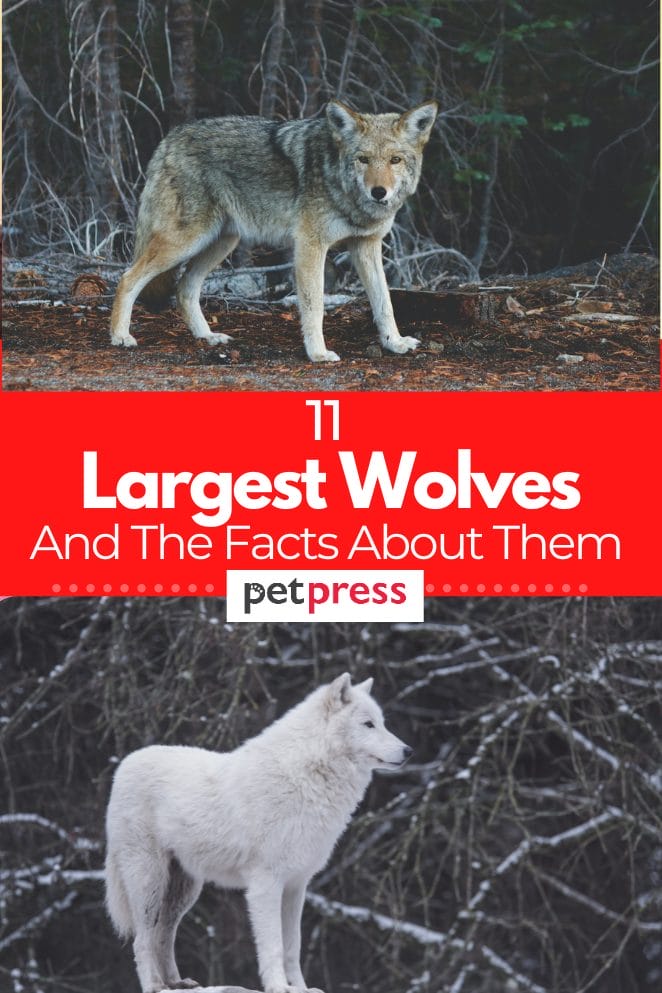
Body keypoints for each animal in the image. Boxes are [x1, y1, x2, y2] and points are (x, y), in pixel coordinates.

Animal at [105, 673, 411, 993]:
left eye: (383, 723)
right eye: (368, 724)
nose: (408, 751)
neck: (305, 776)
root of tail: (125, 763)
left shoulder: (296, 885)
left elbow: (293, 947)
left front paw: (301, 988)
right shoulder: (266, 884)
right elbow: (273, 946)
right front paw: (278, 986)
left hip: (184, 890)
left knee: (164, 934)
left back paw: (178, 982)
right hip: (149, 883)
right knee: (142, 940)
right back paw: (155, 985)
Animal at [109, 99, 437, 362]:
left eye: (395, 160)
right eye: (363, 159)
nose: (379, 192)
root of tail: (169, 138)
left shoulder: (366, 246)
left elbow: (385, 302)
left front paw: (394, 343)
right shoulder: (310, 246)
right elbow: (315, 305)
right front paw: (318, 354)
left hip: (220, 243)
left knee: (184, 288)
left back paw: (208, 337)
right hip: (186, 241)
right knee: (128, 278)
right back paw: (120, 336)